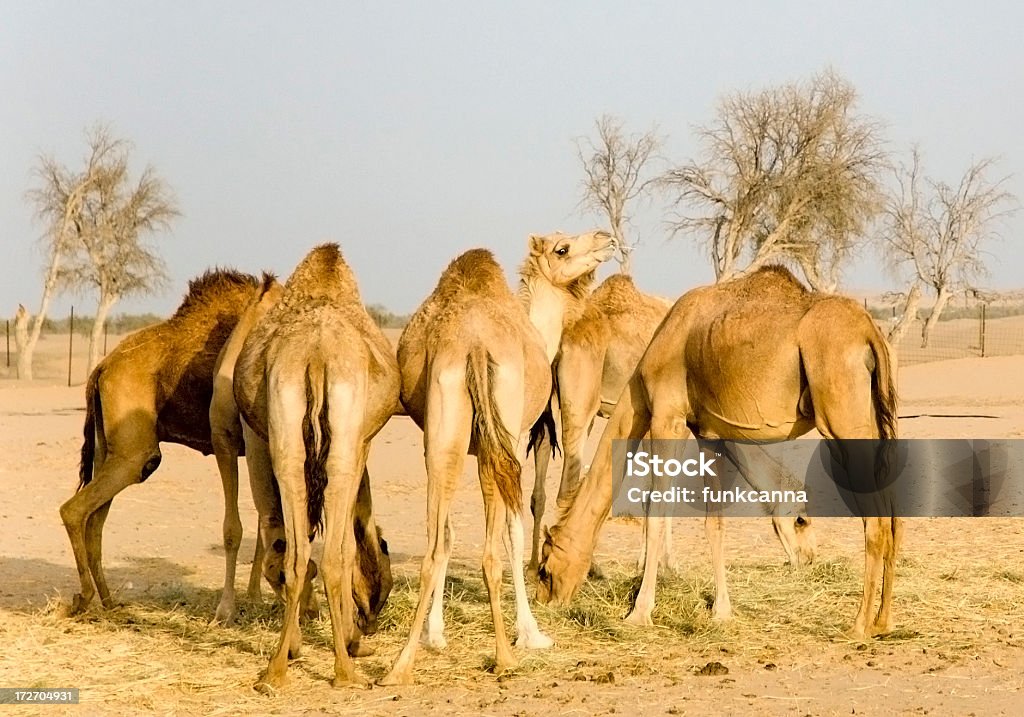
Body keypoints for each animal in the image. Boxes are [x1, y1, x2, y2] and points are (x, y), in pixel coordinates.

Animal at [59, 268, 274, 614]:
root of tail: (101, 368)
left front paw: (255, 598)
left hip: (109, 450)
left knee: (94, 522)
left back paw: (110, 603)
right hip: (135, 454)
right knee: (75, 510)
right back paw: (85, 599)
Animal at [235, 244, 399, 688]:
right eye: (385, 550)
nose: (372, 621)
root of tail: (315, 354)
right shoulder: (363, 445)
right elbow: (348, 544)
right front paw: (353, 640)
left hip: (285, 421)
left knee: (296, 555)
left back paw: (276, 670)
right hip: (343, 437)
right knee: (332, 557)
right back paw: (345, 671)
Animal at [378, 233, 610, 684]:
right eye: (562, 248)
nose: (606, 239)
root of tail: (472, 346)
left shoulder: (445, 442)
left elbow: (448, 535)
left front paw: (436, 634)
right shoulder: (515, 439)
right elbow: (514, 532)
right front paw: (531, 633)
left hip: (445, 432)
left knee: (434, 547)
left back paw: (400, 666)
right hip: (495, 439)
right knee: (490, 551)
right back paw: (504, 656)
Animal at [532, 268, 901, 639]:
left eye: (546, 569)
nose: (546, 599)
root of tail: (870, 332)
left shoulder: (667, 415)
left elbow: (656, 511)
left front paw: (639, 613)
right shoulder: (710, 434)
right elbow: (715, 523)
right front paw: (721, 612)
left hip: (840, 412)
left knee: (874, 519)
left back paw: (859, 625)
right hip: (871, 413)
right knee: (890, 509)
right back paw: (883, 621)